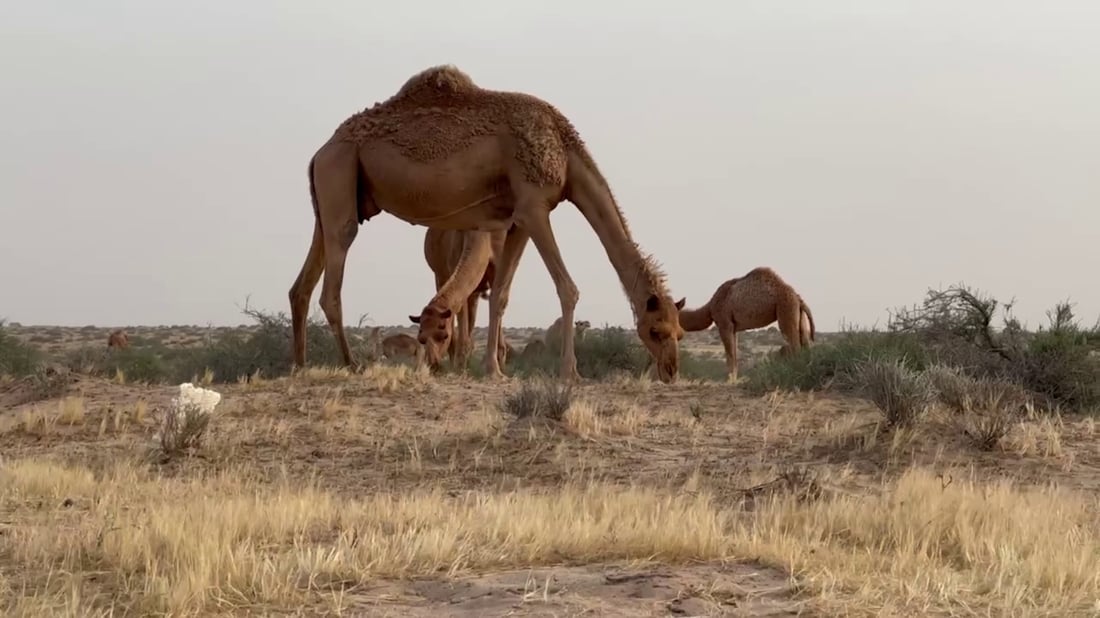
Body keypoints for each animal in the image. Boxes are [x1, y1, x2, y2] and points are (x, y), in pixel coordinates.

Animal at [673, 265, 814, 380]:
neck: (710, 308)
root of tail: (798, 298)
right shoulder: (734, 328)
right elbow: (735, 353)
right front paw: (734, 379)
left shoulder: (724, 323)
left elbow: (730, 354)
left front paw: (730, 380)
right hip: (798, 314)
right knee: (805, 342)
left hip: (786, 309)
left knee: (794, 343)